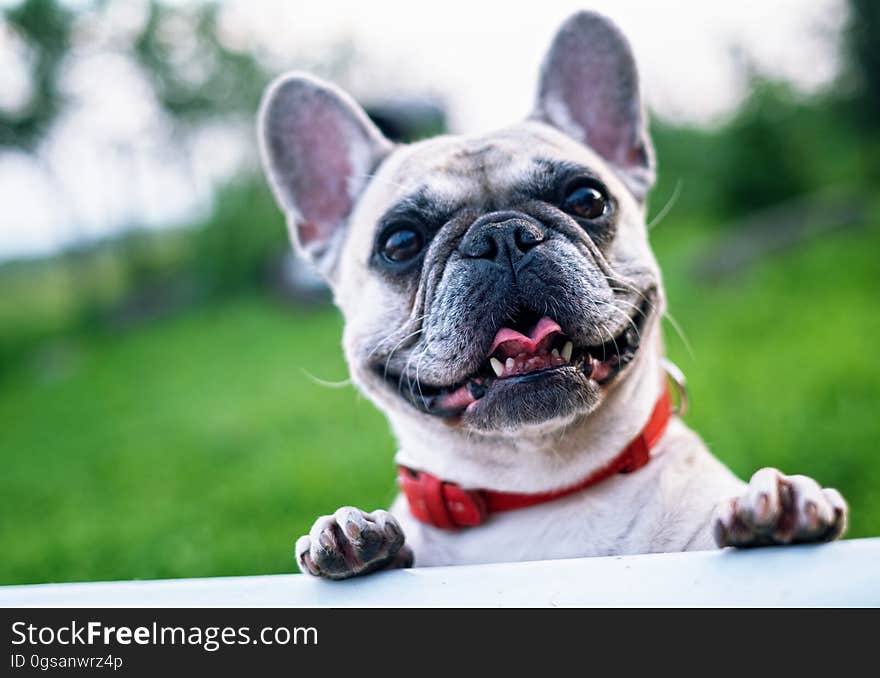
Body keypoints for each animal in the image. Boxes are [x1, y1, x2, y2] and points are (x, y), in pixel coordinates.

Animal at [258, 10, 848, 580]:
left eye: (587, 198)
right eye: (400, 242)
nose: (501, 235)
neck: (541, 487)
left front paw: (782, 508)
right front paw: (352, 535)